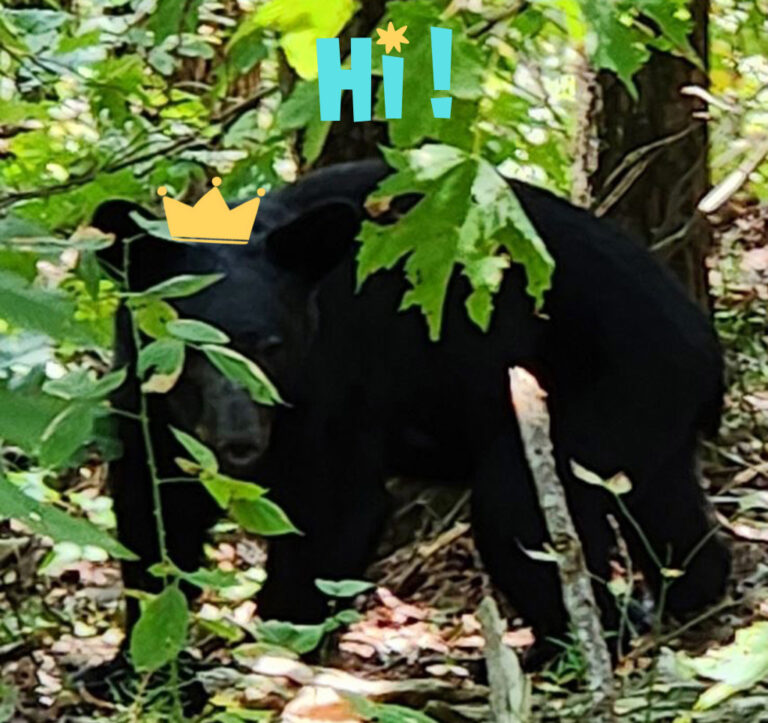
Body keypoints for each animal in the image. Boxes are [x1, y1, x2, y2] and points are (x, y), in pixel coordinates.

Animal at [93, 159, 730, 665]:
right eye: (185, 349)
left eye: (271, 345)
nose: (239, 441)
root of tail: (705, 346)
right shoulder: (146, 406)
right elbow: (155, 516)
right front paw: (133, 666)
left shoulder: (333, 387)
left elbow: (333, 512)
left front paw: (275, 657)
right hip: (643, 420)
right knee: (667, 515)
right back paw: (687, 598)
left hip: (599, 396)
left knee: (521, 516)